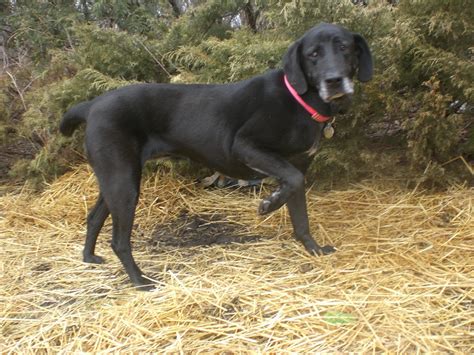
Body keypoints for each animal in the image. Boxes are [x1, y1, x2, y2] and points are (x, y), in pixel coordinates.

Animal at [59, 23, 372, 290]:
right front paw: (269, 203)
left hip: (115, 179)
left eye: (344, 47)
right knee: (119, 241)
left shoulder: (299, 164)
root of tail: (92, 105)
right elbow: (291, 181)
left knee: (93, 218)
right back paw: (140, 281)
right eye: (313, 54)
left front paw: (314, 250)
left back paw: (89, 258)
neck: (300, 99)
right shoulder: (245, 146)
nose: (334, 81)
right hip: (123, 183)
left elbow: (301, 218)